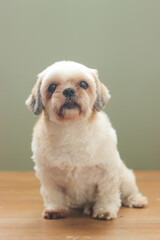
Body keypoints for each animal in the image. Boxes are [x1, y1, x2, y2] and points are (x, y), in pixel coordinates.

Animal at [25, 61, 148, 220]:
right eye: (52, 87)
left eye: (83, 84)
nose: (69, 91)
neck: (71, 131)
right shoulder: (48, 177)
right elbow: (54, 195)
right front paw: (55, 209)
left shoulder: (108, 173)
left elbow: (107, 194)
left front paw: (104, 210)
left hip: (125, 178)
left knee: (129, 192)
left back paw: (135, 200)